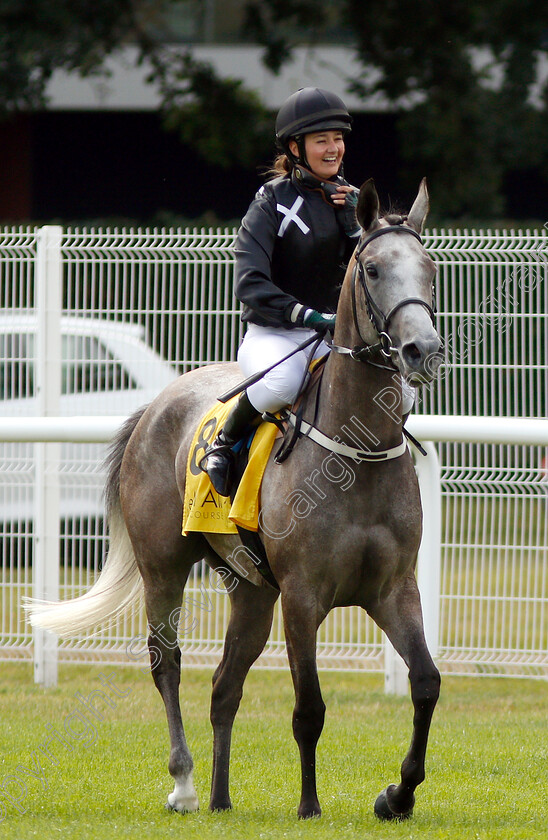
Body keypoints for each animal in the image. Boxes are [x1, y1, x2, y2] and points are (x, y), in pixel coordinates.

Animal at [26, 179, 446, 820]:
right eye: (373, 268)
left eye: (429, 267)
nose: (423, 350)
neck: (356, 451)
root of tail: (156, 405)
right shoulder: (302, 596)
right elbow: (309, 708)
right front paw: (309, 806)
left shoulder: (394, 590)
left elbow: (425, 683)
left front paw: (397, 795)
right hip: (165, 569)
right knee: (167, 663)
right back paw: (185, 784)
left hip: (250, 589)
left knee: (224, 685)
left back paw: (222, 796)